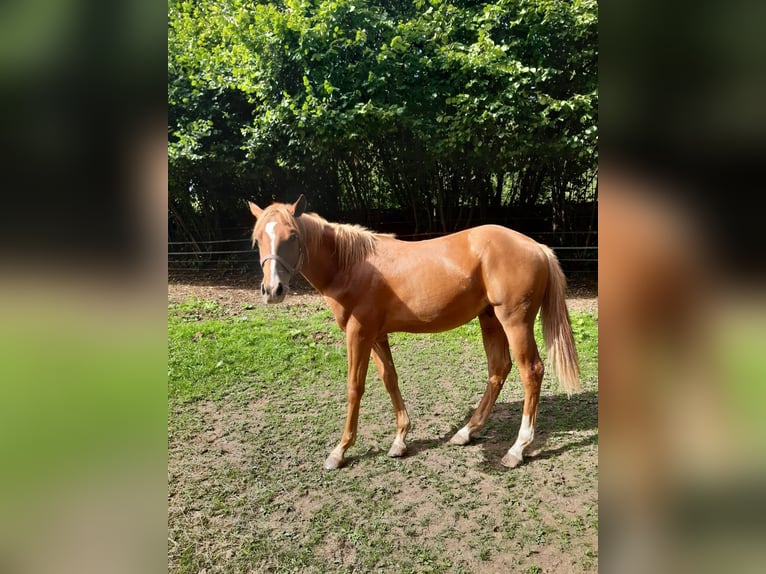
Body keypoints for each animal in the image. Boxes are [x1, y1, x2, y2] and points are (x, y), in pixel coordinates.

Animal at [248, 195, 580, 470]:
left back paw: (517, 449)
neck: (351, 265)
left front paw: (339, 451)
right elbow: (390, 380)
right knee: (499, 369)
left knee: (531, 371)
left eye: (292, 236)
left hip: (515, 322)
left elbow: (355, 387)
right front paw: (400, 440)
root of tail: (537, 248)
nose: (272, 290)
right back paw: (466, 432)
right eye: (257, 239)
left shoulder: (359, 333)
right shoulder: (376, 336)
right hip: (490, 319)